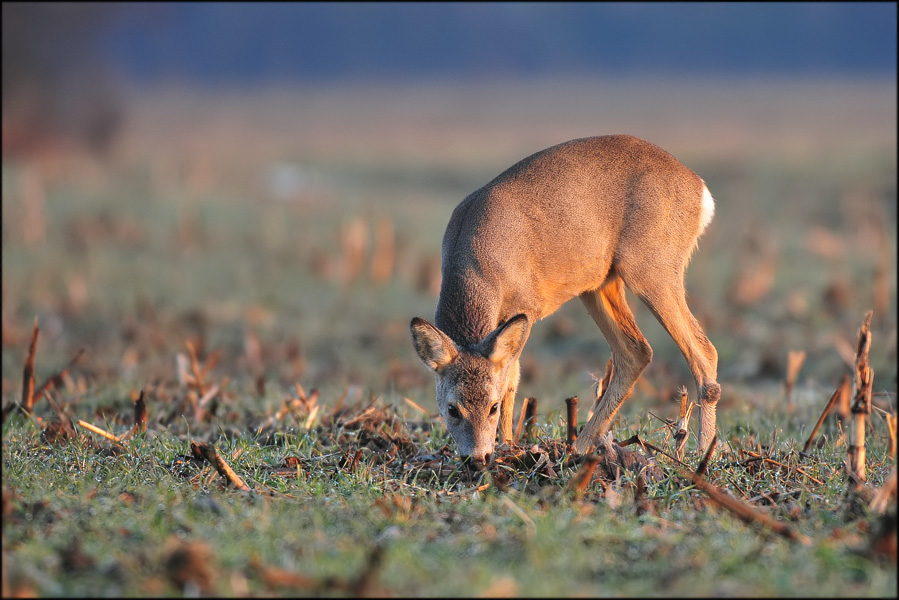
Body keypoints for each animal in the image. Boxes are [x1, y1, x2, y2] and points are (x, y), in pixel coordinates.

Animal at [412, 135, 720, 464]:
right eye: (452, 409)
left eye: (491, 407)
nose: (477, 458)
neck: (478, 264)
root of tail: (699, 189)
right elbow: (512, 376)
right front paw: (509, 445)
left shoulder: (525, 308)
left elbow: (509, 382)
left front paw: (507, 447)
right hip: (599, 283)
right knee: (636, 351)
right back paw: (579, 448)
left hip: (652, 268)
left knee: (703, 351)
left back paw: (704, 452)